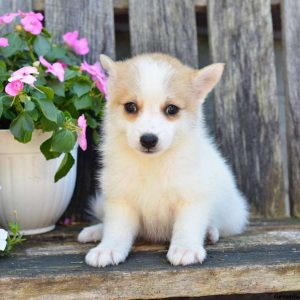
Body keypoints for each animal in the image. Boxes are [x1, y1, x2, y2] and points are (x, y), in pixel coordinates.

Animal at [78, 52, 248, 266]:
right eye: (131, 107)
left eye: (171, 109)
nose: (148, 140)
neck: (153, 164)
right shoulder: (121, 201)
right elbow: (116, 229)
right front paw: (107, 249)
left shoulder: (191, 198)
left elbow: (187, 227)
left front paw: (185, 248)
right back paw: (96, 231)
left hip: (232, 214)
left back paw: (210, 232)